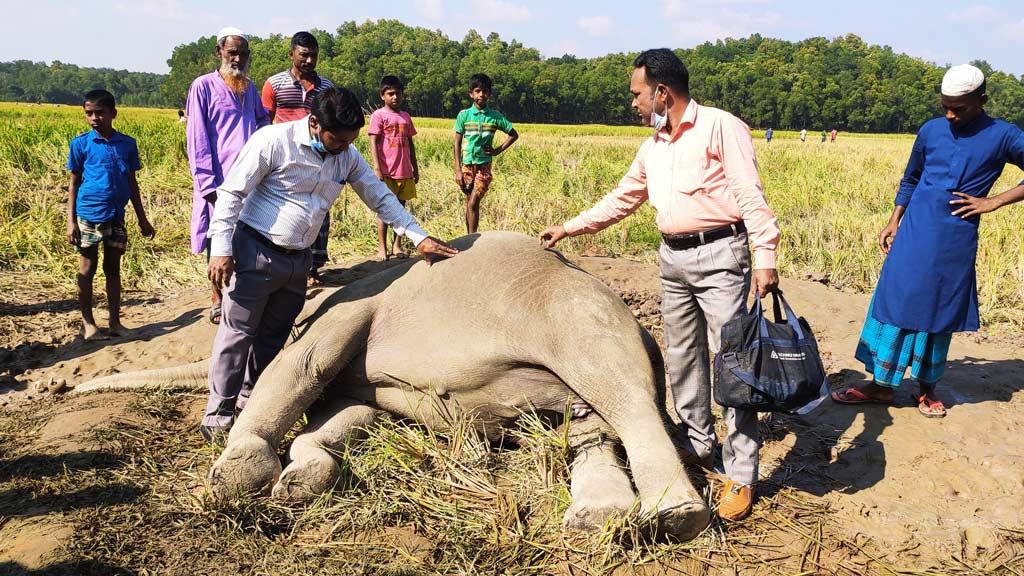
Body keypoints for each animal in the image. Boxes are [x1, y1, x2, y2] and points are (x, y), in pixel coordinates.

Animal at [75, 228, 712, 537]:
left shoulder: (352, 307)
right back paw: (601, 514)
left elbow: (302, 364)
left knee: (619, 393)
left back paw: (676, 515)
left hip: (579, 312)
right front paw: (297, 483)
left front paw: (236, 478)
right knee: (586, 425)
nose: (66, 390)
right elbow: (345, 415)